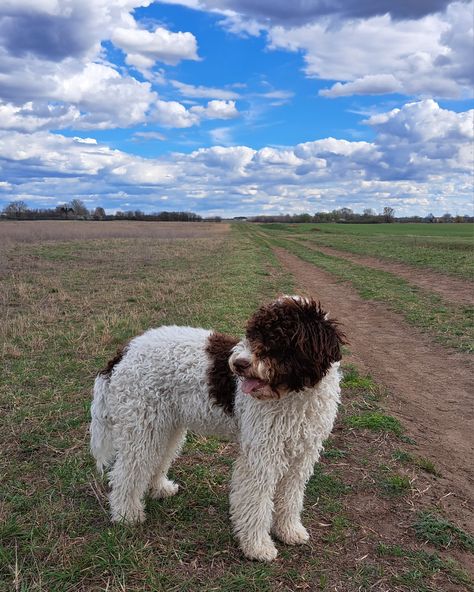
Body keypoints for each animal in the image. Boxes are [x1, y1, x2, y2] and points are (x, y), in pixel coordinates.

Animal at [90, 294, 344, 560]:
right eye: (252, 333)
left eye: (276, 338)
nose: (239, 364)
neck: (294, 395)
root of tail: (125, 351)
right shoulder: (261, 456)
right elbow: (256, 503)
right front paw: (257, 546)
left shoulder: (302, 456)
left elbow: (291, 497)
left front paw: (289, 531)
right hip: (142, 426)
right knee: (126, 474)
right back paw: (126, 515)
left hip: (164, 425)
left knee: (157, 460)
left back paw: (159, 488)